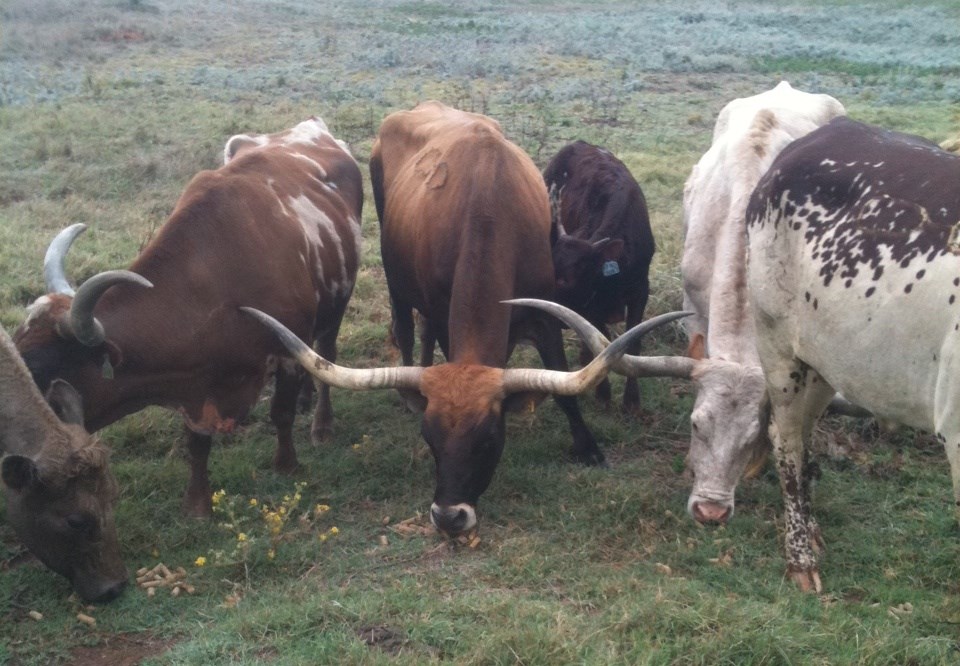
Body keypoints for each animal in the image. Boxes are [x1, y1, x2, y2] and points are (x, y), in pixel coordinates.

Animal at [14, 116, 363, 518]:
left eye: (40, 370)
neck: (216, 284)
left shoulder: (286, 351)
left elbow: (281, 413)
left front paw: (287, 465)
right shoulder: (193, 382)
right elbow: (197, 444)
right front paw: (197, 504)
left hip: (337, 302)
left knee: (326, 354)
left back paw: (321, 422)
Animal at [542, 140, 656, 414]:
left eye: (565, 280)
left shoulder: (641, 290)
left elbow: (631, 343)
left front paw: (631, 400)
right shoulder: (590, 304)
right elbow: (600, 340)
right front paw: (603, 392)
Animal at [745, 116, 960, 592]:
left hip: (826, 361)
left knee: (805, 434)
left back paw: (810, 530)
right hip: (776, 342)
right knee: (786, 440)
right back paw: (800, 557)